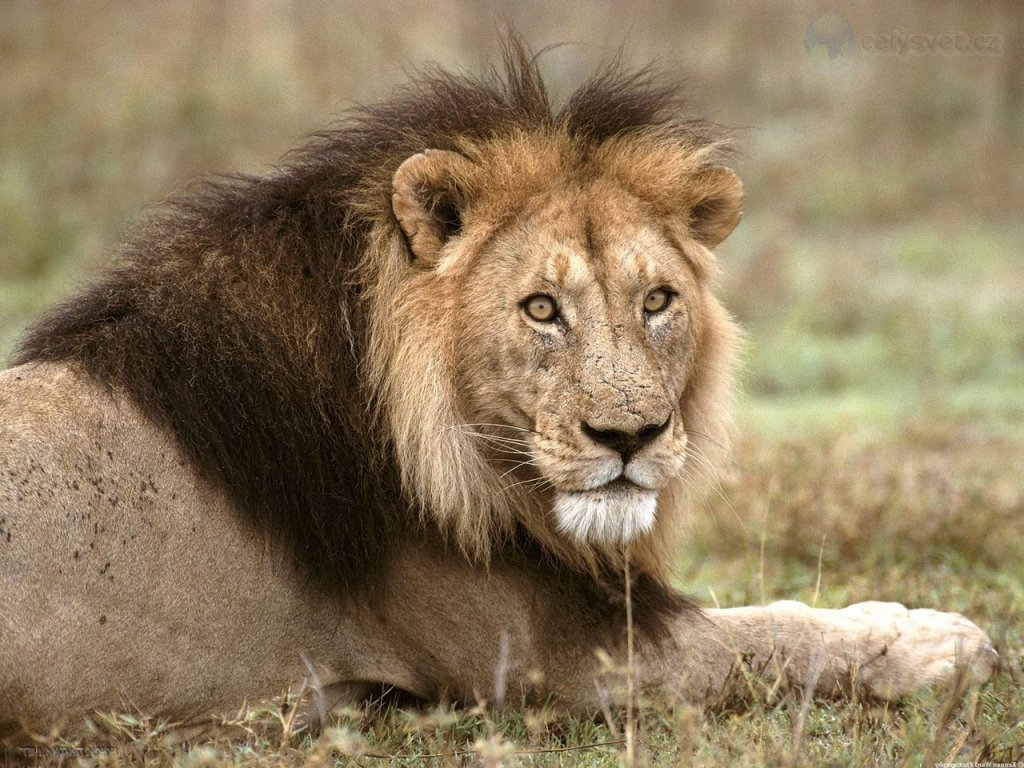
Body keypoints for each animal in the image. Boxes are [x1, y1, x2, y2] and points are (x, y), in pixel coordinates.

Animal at [0, 42, 996, 741]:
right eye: (541, 308)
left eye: (658, 300)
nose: (630, 437)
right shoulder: (560, 660)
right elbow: (768, 636)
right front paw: (942, 641)